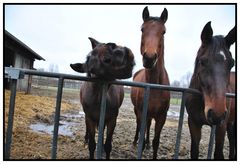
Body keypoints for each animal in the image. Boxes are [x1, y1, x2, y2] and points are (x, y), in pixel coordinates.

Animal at [130, 6, 170, 159]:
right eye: (142, 29)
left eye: (164, 31)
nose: (149, 58)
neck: (154, 86)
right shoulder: (142, 112)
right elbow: (141, 129)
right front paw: (139, 143)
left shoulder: (162, 116)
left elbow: (156, 142)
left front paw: (149, 145)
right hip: (138, 111)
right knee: (139, 124)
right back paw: (135, 141)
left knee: (147, 126)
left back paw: (147, 144)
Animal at [186, 21, 234, 159]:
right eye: (202, 62)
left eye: (232, 64)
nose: (217, 114)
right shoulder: (194, 123)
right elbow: (194, 151)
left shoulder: (221, 126)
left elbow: (218, 153)